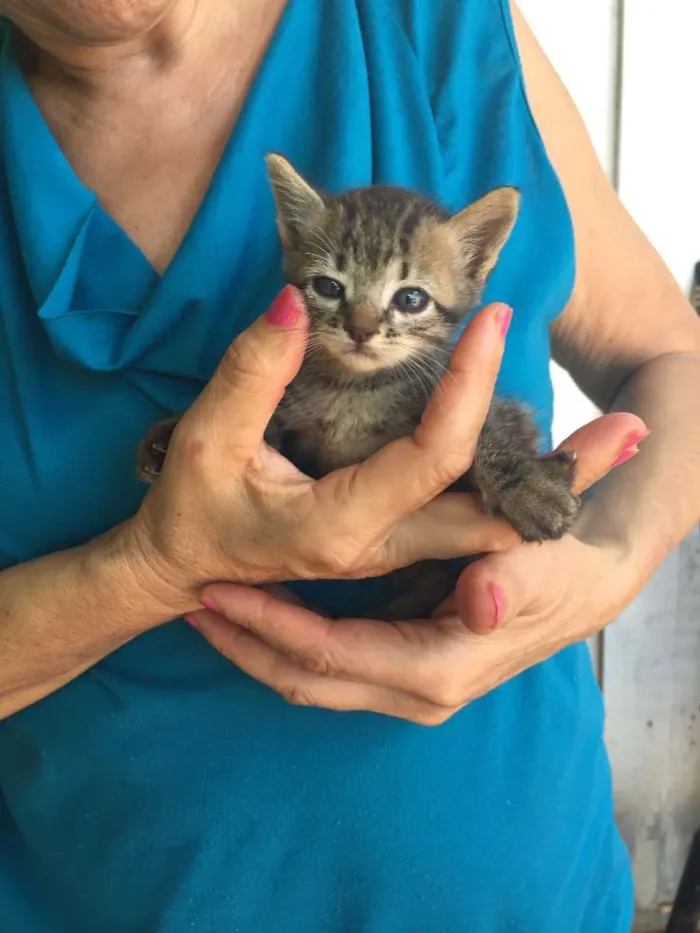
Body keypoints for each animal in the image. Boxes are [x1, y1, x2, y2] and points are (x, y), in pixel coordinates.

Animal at [138, 153, 580, 620]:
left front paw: (527, 487)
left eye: (411, 299)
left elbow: (487, 428)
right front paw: (170, 433)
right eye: (329, 287)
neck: (355, 389)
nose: (360, 329)